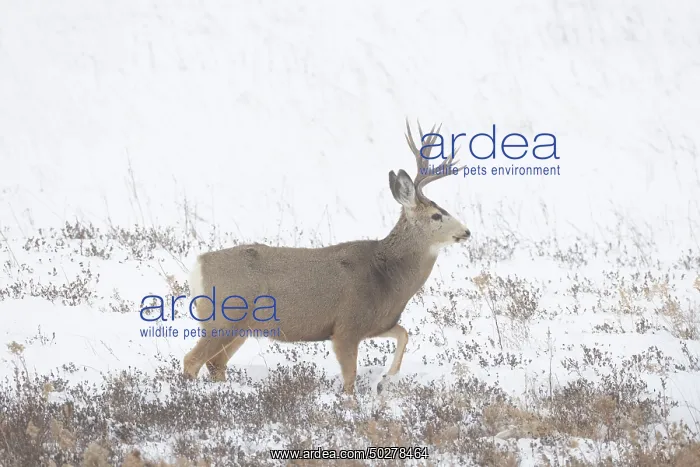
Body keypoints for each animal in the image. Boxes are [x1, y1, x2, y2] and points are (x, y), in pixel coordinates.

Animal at [182, 120, 471, 395]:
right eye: (436, 215)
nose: (466, 231)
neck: (386, 277)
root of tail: (198, 266)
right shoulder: (346, 327)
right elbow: (350, 378)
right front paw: (353, 404)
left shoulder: (377, 323)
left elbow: (404, 334)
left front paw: (384, 382)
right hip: (224, 318)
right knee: (192, 361)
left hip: (242, 327)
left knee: (215, 364)